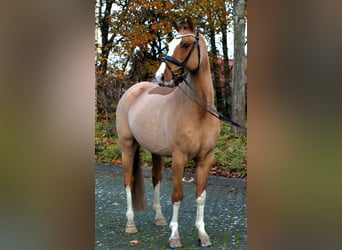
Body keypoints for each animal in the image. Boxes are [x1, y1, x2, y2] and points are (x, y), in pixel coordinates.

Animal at [116, 17, 220, 248]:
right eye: (170, 43)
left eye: (185, 44)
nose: (160, 76)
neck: (199, 112)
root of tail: (132, 91)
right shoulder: (179, 158)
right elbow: (177, 195)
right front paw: (175, 236)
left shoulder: (206, 159)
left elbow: (201, 196)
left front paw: (203, 235)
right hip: (127, 145)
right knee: (128, 181)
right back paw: (130, 224)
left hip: (155, 152)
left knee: (156, 179)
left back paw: (160, 218)